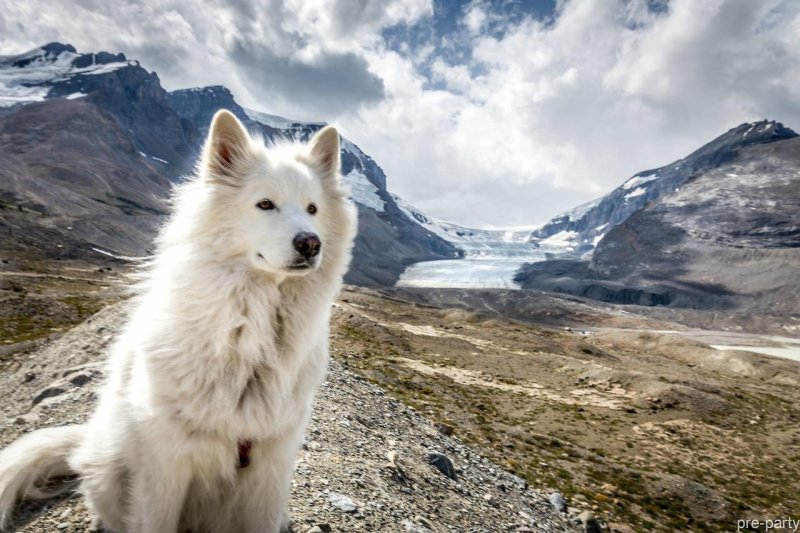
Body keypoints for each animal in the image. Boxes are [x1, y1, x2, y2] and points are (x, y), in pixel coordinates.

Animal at [0, 110, 356, 528]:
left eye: (313, 209)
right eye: (265, 204)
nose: (311, 244)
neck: (248, 336)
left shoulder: (271, 464)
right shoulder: (164, 466)